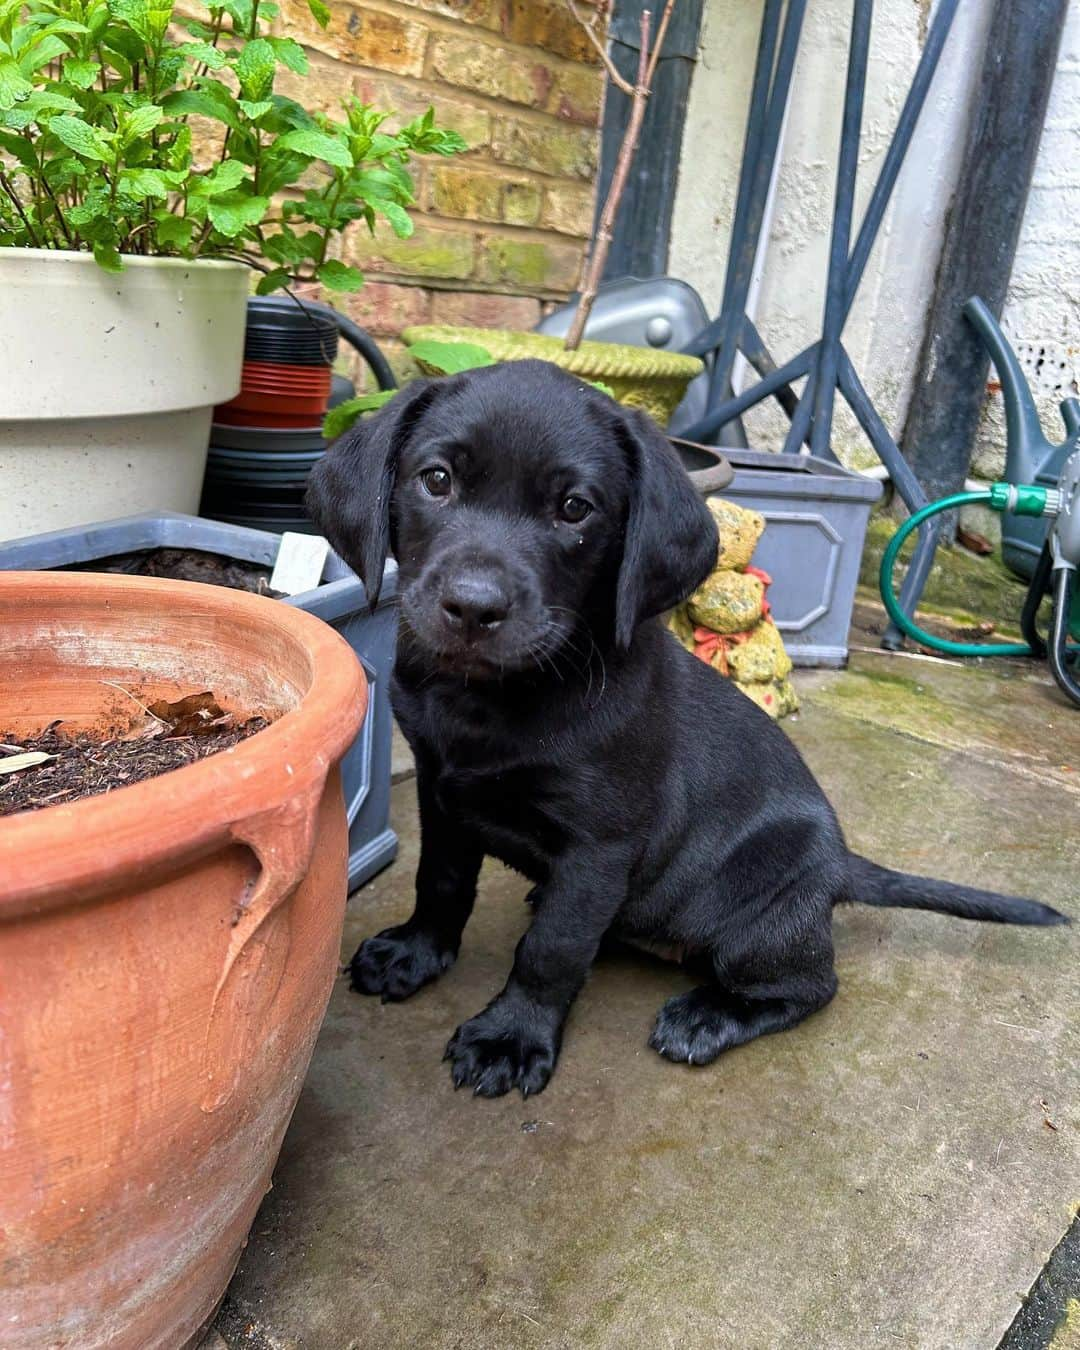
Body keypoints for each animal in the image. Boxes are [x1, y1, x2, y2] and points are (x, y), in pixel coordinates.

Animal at [303, 359, 1063, 1096]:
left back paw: (708, 1016)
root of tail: (839, 866)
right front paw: (415, 954)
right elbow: (441, 880)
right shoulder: (442, 792)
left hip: (755, 920)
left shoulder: (600, 845)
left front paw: (511, 1037)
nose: (472, 607)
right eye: (436, 480)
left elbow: (552, 949)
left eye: (574, 509)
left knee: (811, 986)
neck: (490, 699)